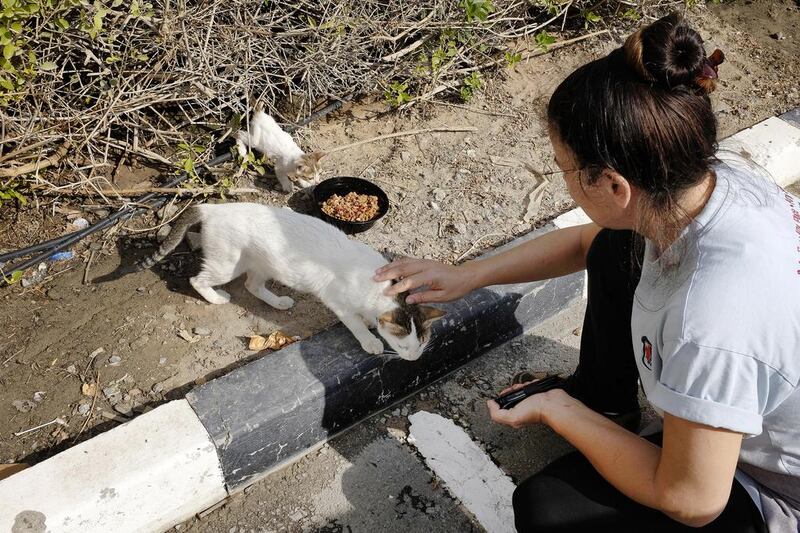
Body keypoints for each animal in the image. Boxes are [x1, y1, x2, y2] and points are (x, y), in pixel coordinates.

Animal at [140, 204, 446, 362]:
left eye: (422, 343)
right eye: (404, 347)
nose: (415, 358)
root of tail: (212, 207)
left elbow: (368, 317)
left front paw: (372, 322)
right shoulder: (337, 300)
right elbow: (355, 323)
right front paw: (369, 339)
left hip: (263, 264)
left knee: (252, 285)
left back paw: (278, 302)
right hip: (226, 263)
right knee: (197, 279)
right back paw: (216, 297)